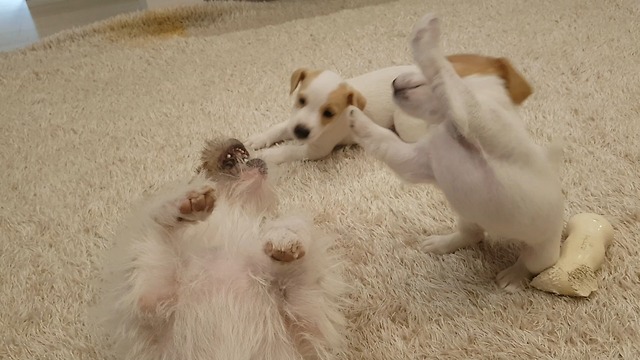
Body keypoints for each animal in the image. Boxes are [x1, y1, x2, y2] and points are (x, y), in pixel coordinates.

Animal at [90, 137, 348, 358]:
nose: (237, 143)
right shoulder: (150, 299)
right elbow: (159, 225)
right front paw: (184, 203)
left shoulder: (304, 315)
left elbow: (295, 229)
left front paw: (285, 236)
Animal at [248, 55, 532, 165]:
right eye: (301, 100)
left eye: (329, 113)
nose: (301, 131)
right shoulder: (293, 122)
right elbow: (277, 130)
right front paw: (256, 140)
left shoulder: (316, 149)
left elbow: (289, 151)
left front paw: (266, 157)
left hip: (404, 123)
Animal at [348, 14, 564, 292]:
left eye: (452, 57)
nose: (393, 82)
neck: (448, 126)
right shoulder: (416, 163)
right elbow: (384, 139)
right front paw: (354, 117)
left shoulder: (480, 118)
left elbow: (448, 80)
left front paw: (425, 38)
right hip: (467, 216)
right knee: (472, 234)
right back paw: (442, 243)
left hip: (541, 252)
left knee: (529, 264)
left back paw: (514, 276)